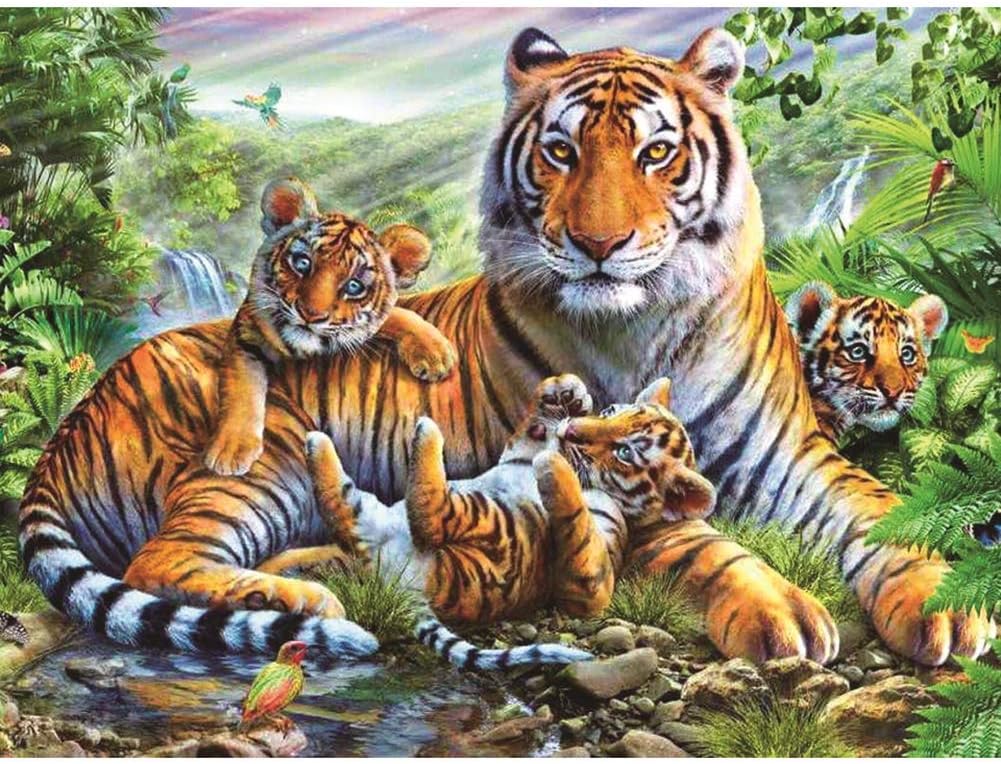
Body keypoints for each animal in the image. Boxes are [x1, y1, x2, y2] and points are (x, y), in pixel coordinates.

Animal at [203, 177, 456, 476]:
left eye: (354, 286)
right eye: (302, 263)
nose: (310, 314)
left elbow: (396, 315)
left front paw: (435, 352)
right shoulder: (245, 335)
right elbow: (241, 387)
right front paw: (231, 450)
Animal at [269, 374, 714, 667]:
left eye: (624, 452)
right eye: (609, 411)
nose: (572, 431)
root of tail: (398, 584)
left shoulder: (594, 584)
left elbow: (578, 526)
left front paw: (554, 466)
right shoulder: (518, 451)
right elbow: (529, 430)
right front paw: (566, 391)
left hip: (494, 528)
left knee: (433, 513)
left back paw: (425, 432)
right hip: (374, 514)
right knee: (342, 506)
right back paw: (318, 442)